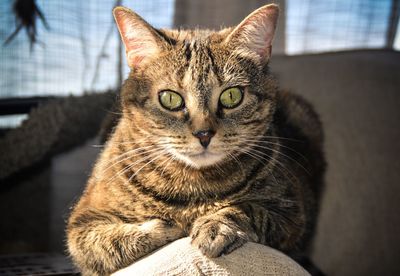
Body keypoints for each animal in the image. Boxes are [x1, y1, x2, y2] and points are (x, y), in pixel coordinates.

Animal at [66, 3, 324, 274]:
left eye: (232, 96)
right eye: (170, 99)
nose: (204, 134)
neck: (193, 188)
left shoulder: (292, 213)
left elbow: (247, 208)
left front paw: (216, 226)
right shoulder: (82, 223)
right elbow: (111, 243)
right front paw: (166, 227)